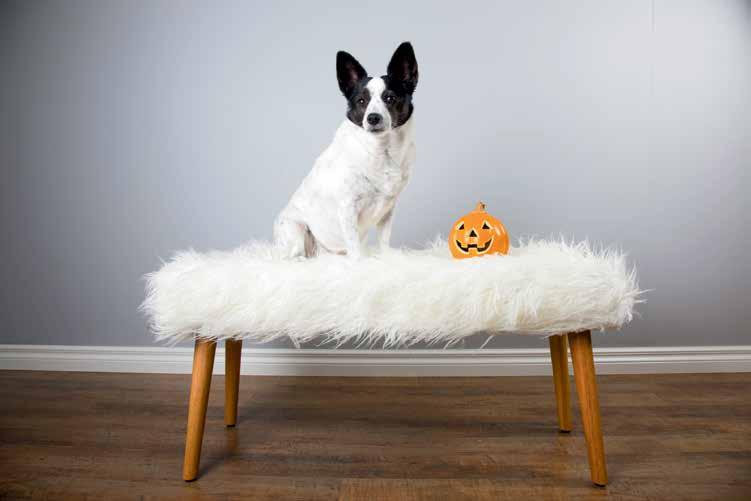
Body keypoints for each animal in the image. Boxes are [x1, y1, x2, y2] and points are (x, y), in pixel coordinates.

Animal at [274, 42, 418, 259]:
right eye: (361, 101)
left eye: (390, 98)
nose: (373, 118)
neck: (380, 150)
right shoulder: (347, 208)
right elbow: (354, 248)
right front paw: (359, 263)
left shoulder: (388, 210)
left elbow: (384, 240)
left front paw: (386, 259)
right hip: (295, 231)